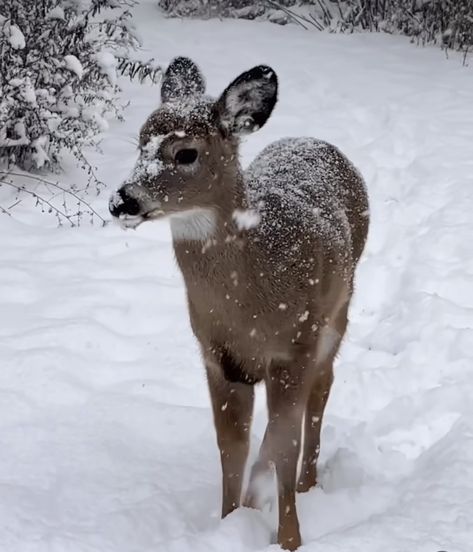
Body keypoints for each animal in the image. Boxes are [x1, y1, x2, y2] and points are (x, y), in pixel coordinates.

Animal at [108, 56, 368, 548]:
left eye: (186, 152)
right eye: (140, 141)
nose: (122, 200)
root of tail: (317, 141)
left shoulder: (292, 348)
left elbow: (283, 444)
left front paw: (289, 538)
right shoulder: (218, 357)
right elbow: (232, 446)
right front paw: (231, 520)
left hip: (336, 313)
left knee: (321, 391)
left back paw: (308, 483)